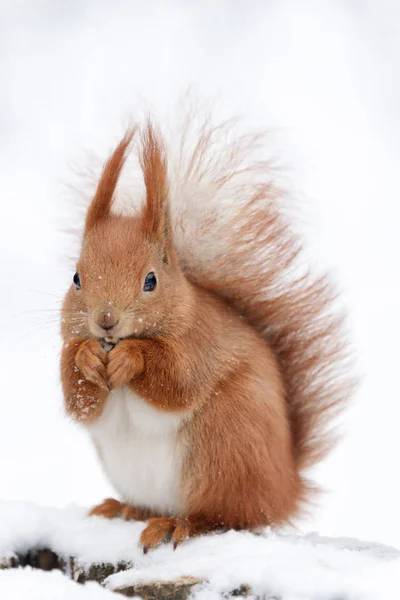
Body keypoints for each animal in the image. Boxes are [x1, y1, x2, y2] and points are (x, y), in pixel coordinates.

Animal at [60, 110, 354, 552]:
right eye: (76, 277)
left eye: (151, 280)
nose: (106, 320)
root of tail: (284, 490)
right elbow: (77, 397)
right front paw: (86, 356)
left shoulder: (200, 344)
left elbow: (176, 381)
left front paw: (132, 357)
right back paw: (127, 508)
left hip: (224, 448)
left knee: (227, 516)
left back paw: (178, 524)